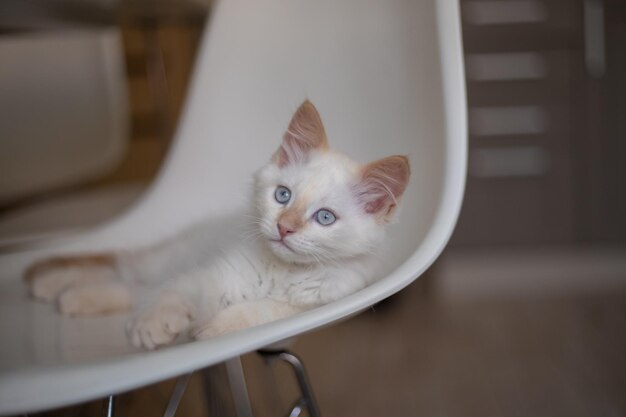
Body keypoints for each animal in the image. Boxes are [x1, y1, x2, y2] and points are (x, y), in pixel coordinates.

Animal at [25, 101, 410, 348]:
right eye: (282, 195)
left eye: (325, 218)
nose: (284, 227)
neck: (283, 270)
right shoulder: (211, 274)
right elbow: (174, 293)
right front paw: (154, 322)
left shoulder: (319, 305)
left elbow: (261, 310)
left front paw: (211, 329)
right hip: (169, 259)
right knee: (130, 273)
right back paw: (54, 284)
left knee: (131, 286)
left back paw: (69, 296)